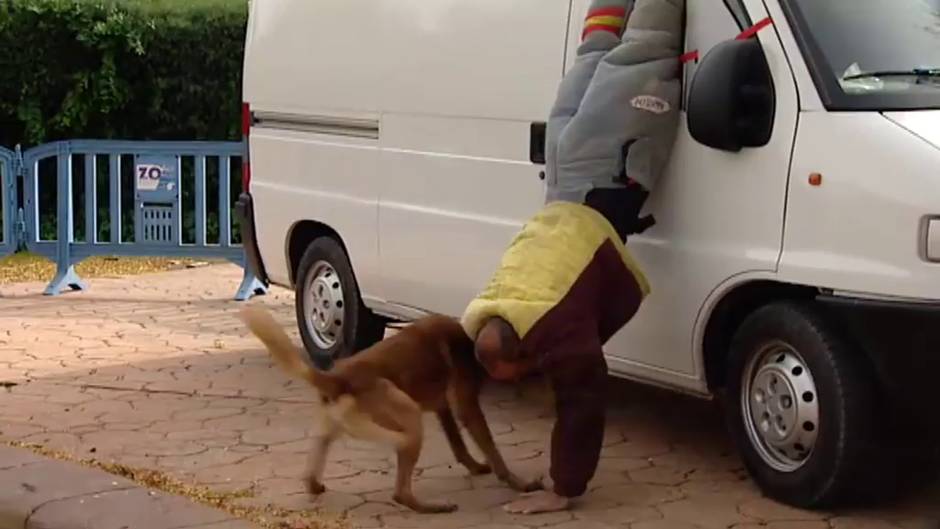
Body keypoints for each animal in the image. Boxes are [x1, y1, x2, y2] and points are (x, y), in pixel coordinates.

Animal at [237, 304, 544, 512]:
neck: (469, 338)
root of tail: (339, 378)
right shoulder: (465, 404)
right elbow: (490, 447)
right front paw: (517, 482)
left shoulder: (442, 407)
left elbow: (458, 444)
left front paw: (476, 466)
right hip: (406, 415)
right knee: (401, 490)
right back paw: (429, 506)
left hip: (332, 427)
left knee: (313, 464)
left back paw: (314, 484)